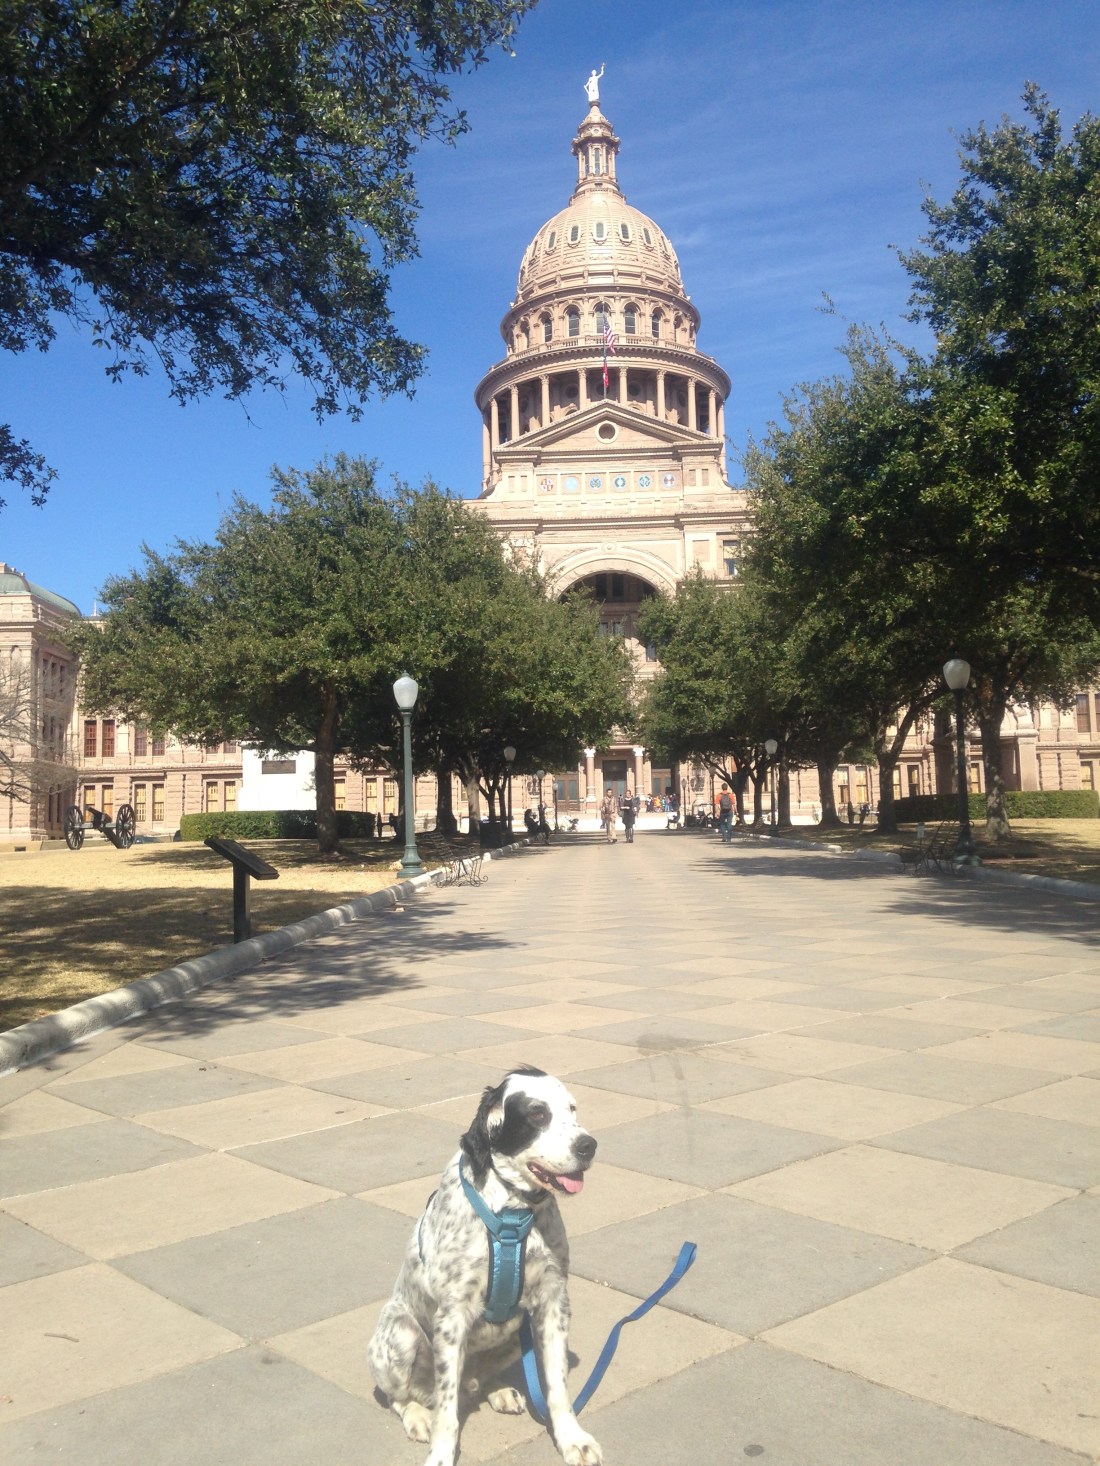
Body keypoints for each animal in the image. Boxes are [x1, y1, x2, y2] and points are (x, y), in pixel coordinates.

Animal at [368, 1067, 601, 1466]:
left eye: (572, 1109)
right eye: (537, 1113)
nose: (588, 1145)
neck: (513, 1211)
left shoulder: (554, 1302)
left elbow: (557, 1388)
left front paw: (572, 1438)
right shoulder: (451, 1317)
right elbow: (447, 1413)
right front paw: (441, 1455)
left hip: (518, 1332)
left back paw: (498, 1390)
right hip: (400, 1332)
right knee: (402, 1396)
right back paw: (418, 1415)